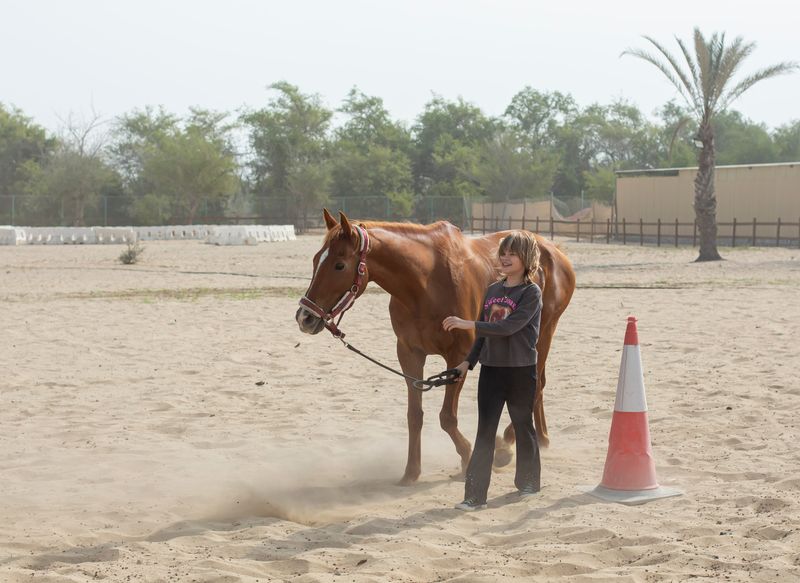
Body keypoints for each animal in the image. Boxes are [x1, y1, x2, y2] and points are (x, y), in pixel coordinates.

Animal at [296, 209, 576, 485]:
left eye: (339, 265)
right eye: (315, 260)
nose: (305, 317)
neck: (426, 284)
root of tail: (555, 251)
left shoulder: (458, 356)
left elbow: (447, 418)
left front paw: (469, 458)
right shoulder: (409, 354)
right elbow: (414, 416)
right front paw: (411, 471)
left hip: (543, 333)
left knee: (535, 386)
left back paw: (509, 443)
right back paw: (535, 439)